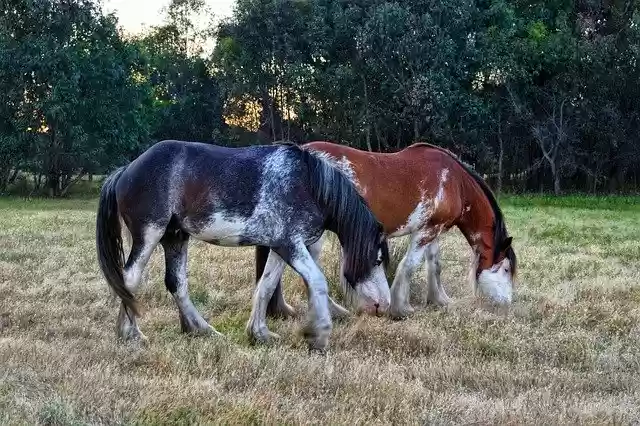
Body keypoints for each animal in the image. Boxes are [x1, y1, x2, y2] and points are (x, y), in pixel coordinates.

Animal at [95, 139, 391, 352]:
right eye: (377, 260)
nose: (384, 306)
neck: (307, 185)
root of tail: (126, 170)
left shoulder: (280, 247)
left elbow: (266, 286)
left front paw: (259, 334)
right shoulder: (290, 245)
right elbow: (317, 281)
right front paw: (317, 335)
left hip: (175, 237)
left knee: (176, 283)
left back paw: (201, 330)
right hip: (149, 234)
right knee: (130, 280)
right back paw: (131, 334)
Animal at [255, 141, 517, 321]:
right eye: (505, 269)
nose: (508, 303)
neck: (454, 182)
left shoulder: (433, 229)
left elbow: (435, 264)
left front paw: (439, 299)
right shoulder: (425, 232)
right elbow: (409, 265)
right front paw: (400, 308)